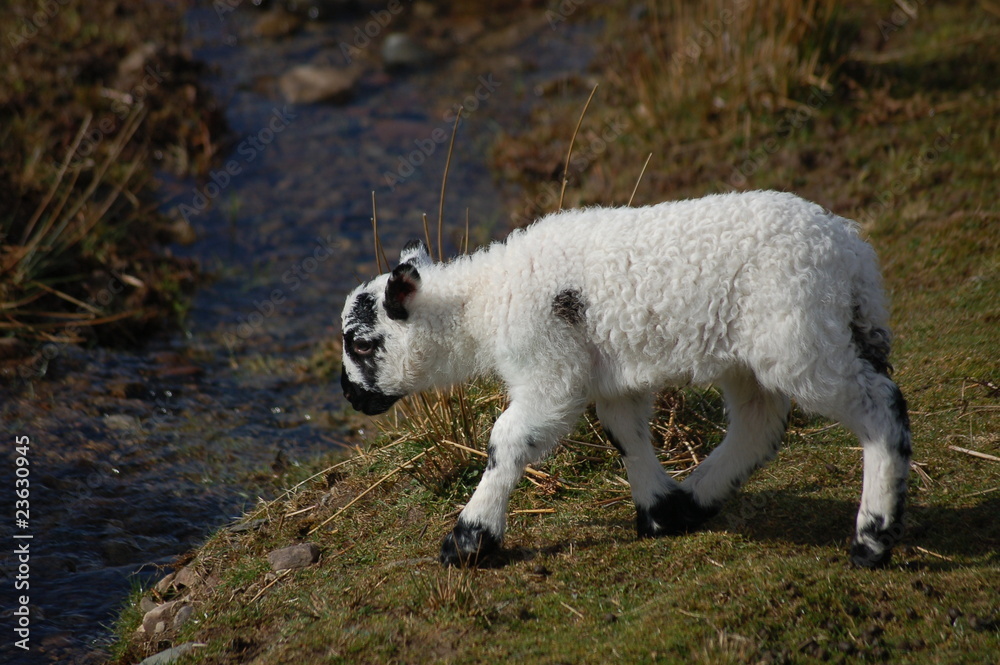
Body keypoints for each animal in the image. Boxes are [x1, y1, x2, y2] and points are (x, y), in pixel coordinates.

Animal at [339, 190, 911, 568]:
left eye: (361, 344)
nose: (348, 396)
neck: (482, 302)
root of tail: (852, 253)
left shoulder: (550, 369)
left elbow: (508, 441)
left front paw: (469, 540)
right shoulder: (610, 379)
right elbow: (626, 436)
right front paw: (656, 512)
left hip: (800, 338)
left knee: (880, 408)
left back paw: (871, 539)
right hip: (756, 354)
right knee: (758, 424)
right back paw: (690, 503)